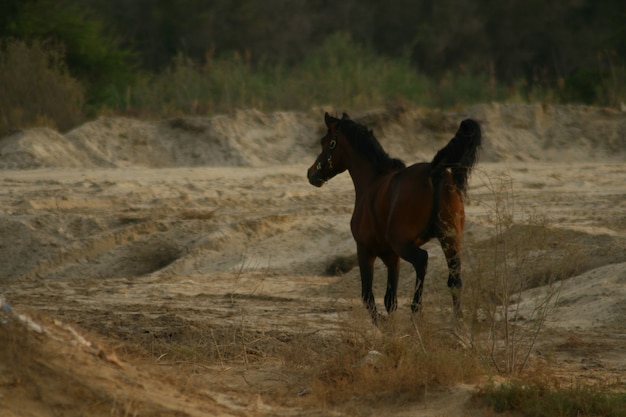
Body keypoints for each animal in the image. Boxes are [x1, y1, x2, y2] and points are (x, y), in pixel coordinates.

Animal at [306, 112, 478, 320]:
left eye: (325, 141)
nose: (311, 173)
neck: (372, 181)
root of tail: (434, 170)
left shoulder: (365, 250)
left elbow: (368, 296)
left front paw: (384, 324)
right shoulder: (392, 257)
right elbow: (390, 300)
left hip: (404, 244)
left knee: (422, 261)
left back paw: (416, 313)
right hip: (450, 241)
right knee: (455, 281)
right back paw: (457, 321)